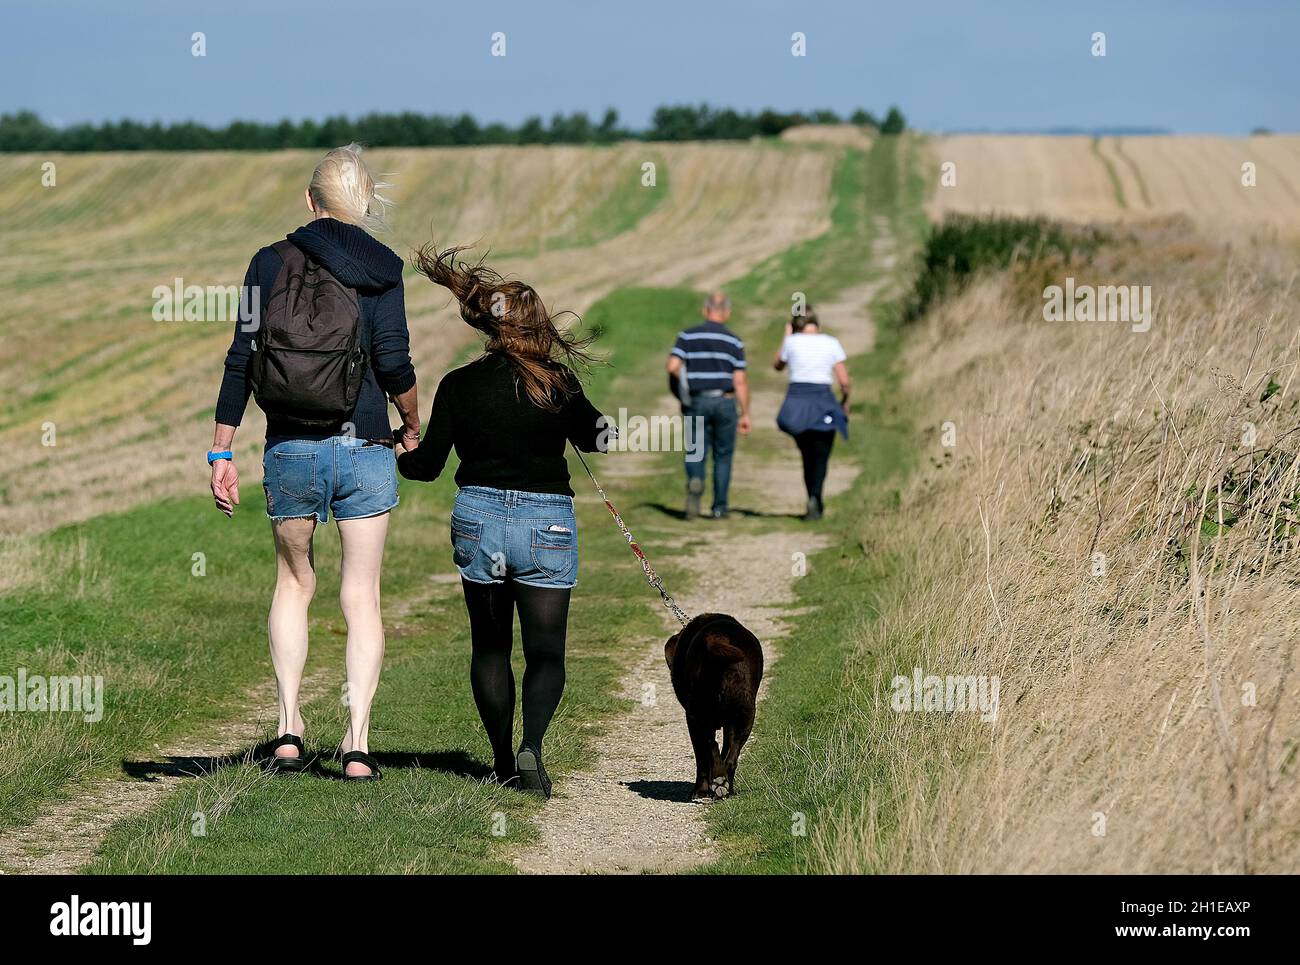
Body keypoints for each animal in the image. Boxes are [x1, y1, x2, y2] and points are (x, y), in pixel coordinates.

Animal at [665, 616, 759, 795]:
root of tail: (719, 635)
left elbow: (702, 758)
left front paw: (700, 790)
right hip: (745, 714)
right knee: (730, 758)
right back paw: (726, 786)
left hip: (697, 715)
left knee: (709, 746)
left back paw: (715, 783)